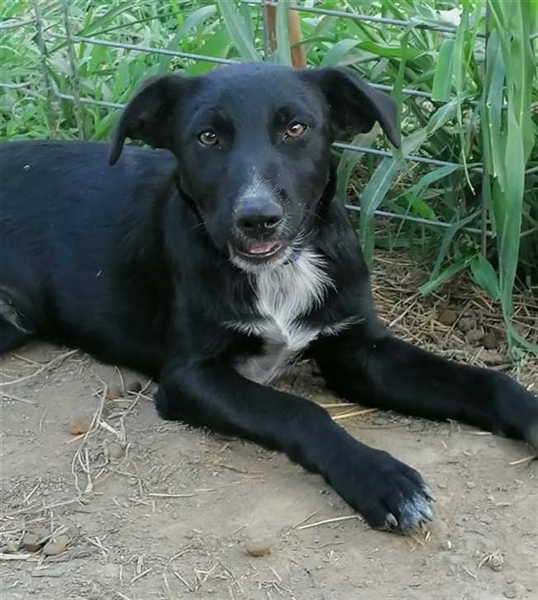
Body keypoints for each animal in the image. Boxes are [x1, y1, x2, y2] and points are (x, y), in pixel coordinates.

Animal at [1, 63, 537, 535]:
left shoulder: (361, 351)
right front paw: (380, 478)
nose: (258, 219)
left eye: (296, 128)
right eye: (208, 137)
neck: (280, 270)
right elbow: (299, 411)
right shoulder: (190, 376)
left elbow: (486, 381)